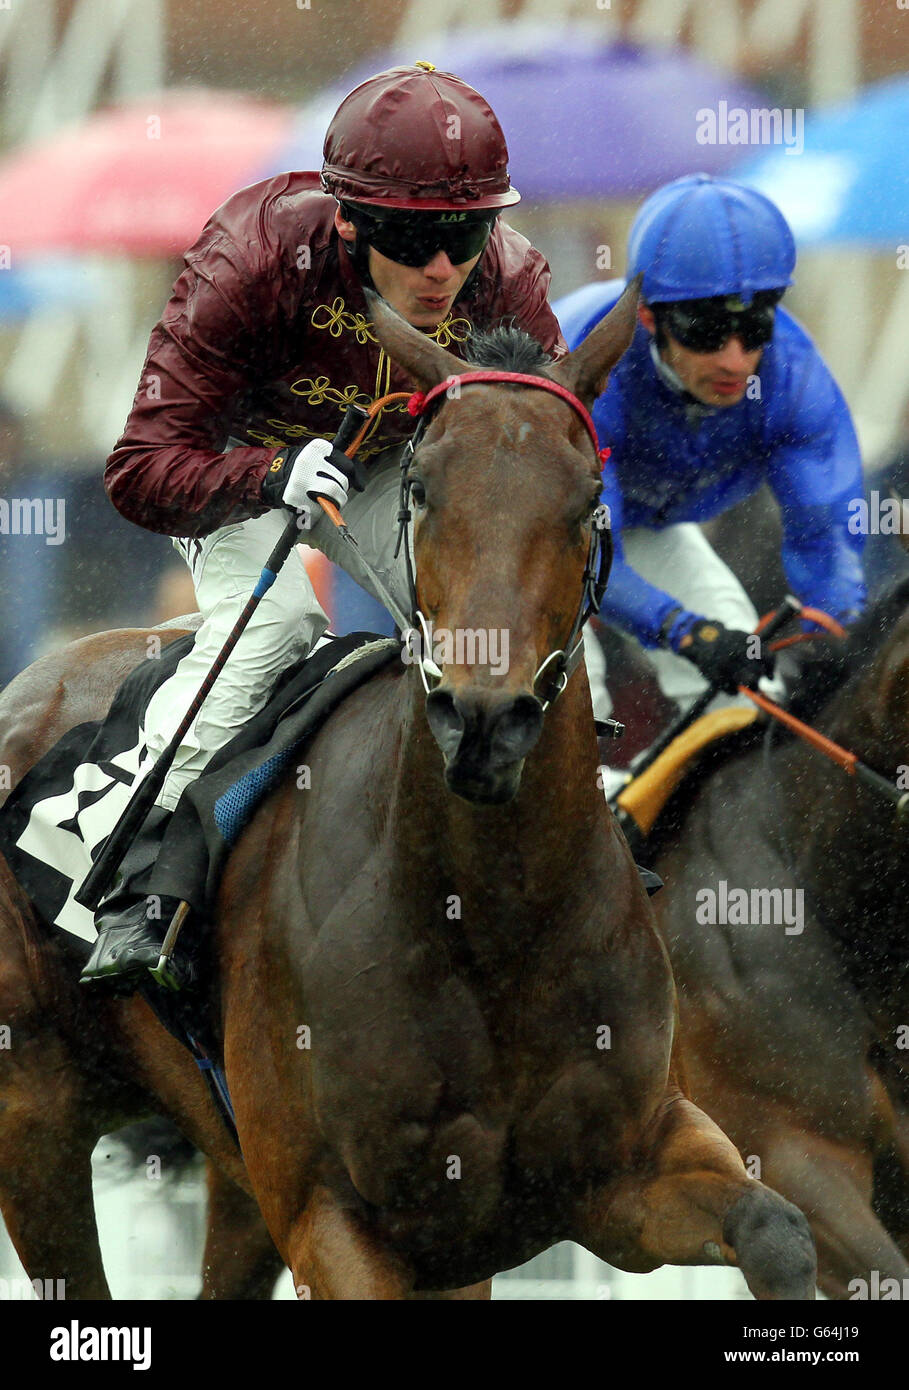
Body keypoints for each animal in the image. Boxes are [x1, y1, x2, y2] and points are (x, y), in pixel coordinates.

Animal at [0, 284, 817, 1301]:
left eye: (590, 500)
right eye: (422, 487)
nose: (483, 720)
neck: (491, 922)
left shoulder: (619, 1171)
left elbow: (776, 1230)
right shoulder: (332, 1218)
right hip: (38, 1114)